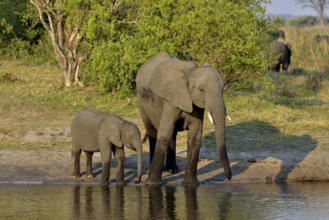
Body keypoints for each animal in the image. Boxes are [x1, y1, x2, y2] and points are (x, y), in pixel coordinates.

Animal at [135, 51, 231, 186]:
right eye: (201, 90)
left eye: (223, 90)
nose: (229, 178)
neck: (190, 73)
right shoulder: (169, 100)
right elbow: (164, 133)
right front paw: (152, 184)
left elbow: (195, 136)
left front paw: (190, 185)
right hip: (142, 101)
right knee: (152, 131)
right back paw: (150, 170)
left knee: (172, 134)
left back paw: (172, 170)